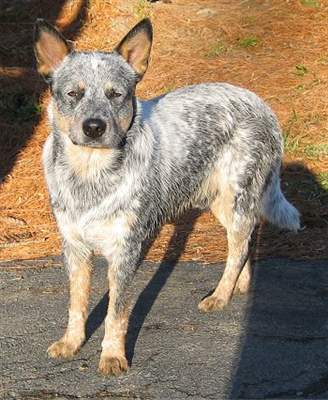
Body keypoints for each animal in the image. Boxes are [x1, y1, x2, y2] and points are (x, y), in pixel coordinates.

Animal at [33, 18, 300, 376]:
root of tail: (260, 103)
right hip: (220, 203)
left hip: (236, 197)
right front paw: (71, 343)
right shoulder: (74, 247)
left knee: (240, 243)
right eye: (73, 94)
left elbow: (116, 312)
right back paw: (238, 285)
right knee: (243, 243)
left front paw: (112, 356)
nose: (94, 126)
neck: (90, 175)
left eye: (116, 94)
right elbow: (76, 303)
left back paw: (221, 295)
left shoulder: (126, 250)